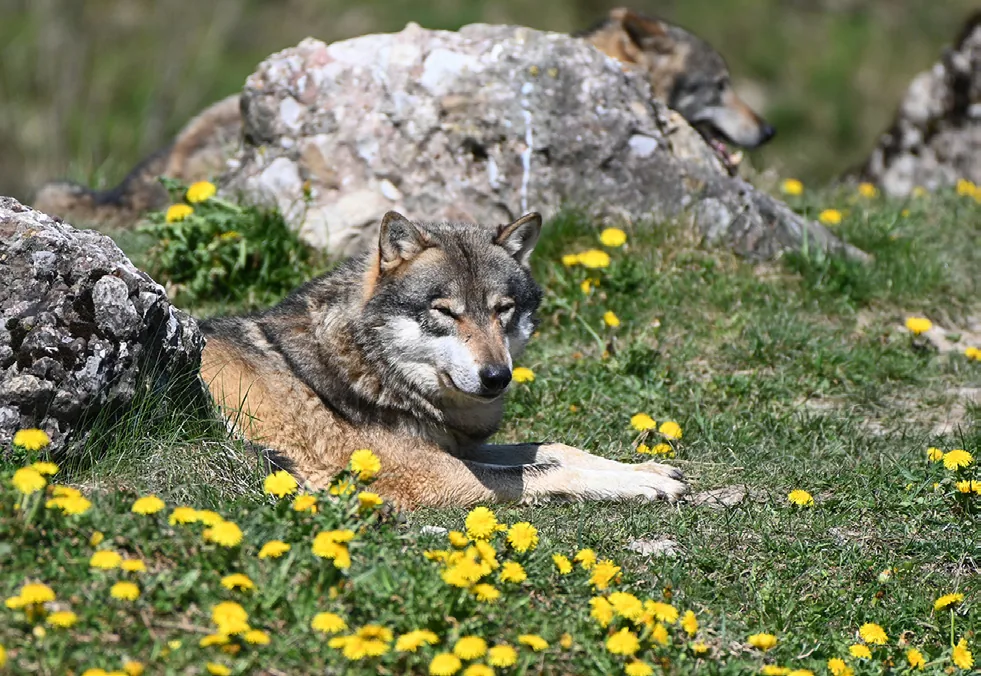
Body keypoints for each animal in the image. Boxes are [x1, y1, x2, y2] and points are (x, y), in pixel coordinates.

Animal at [200, 211, 688, 508]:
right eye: (446, 311)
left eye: (502, 309)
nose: (497, 377)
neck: (369, 368)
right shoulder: (429, 473)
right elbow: (541, 468)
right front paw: (642, 483)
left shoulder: (457, 445)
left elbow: (555, 448)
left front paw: (648, 467)